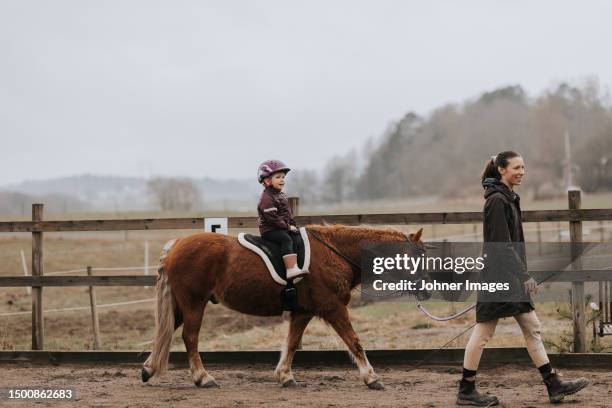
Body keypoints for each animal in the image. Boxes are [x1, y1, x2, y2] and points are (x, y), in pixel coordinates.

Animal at [142, 225, 424, 390]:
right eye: (417, 255)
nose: (425, 287)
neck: (334, 253)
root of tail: (177, 244)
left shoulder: (303, 312)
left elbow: (291, 343)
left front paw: (285, 375)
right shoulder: (333, 308)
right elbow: (354, 342)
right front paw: (372, 378)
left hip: (181, 305)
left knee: (164, 334)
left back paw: (148, 369)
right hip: (194, 302)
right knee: (190, 337)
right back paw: (202, 378)